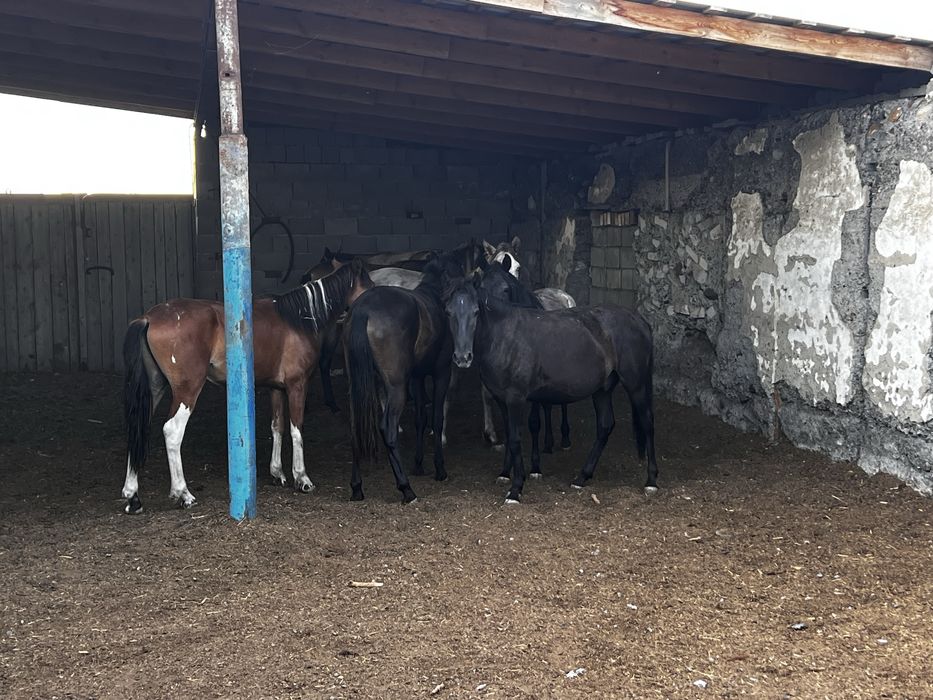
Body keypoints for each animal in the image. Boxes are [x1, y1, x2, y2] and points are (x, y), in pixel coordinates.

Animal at [120, 259, 372, 514]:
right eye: (368, 283)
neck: (300, 318)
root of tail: (148, 317)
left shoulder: (276, 388)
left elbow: (277, 427)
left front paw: (277, 473)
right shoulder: (297, 385)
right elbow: (296, 429)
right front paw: (302, 479)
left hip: (154, 389)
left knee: (137, 428)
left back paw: (133, 497)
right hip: (187, 390)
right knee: (172, 431)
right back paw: (183, 493)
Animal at [343, 249, 469, 503]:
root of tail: (363, 310)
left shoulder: (417, 377)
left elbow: (421, 417)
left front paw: (419, 465)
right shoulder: (441, 373)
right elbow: (436, 418)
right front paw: (439, 469)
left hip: (357, 385)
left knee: (355, 428)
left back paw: (357, 488)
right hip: (396, 387)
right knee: (388, 428)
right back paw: (406, 488)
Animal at [444, 262, 658, 504]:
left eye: (476, 312)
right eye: (449, 312)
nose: (463, 357)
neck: (504, 336)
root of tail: (640, 321)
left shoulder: (516, 398)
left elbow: (516, 438)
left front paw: (516, 489)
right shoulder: (501, 399)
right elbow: (509, 436)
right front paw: (505, 474)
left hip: (636, 384)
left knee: (647, 421)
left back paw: (651, 481)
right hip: (602, 389)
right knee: (605, 425)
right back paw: (582, 477)